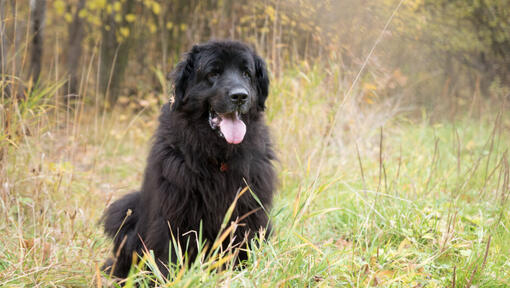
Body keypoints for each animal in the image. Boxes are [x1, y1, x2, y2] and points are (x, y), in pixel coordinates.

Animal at [102, 40, 274, 280]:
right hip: (126, 213)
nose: (240, 96)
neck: (218, 155)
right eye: (213, 73)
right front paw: (169, 278)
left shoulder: (248, 209)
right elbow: (169, 249)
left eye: (246, 73)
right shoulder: (174, 209)